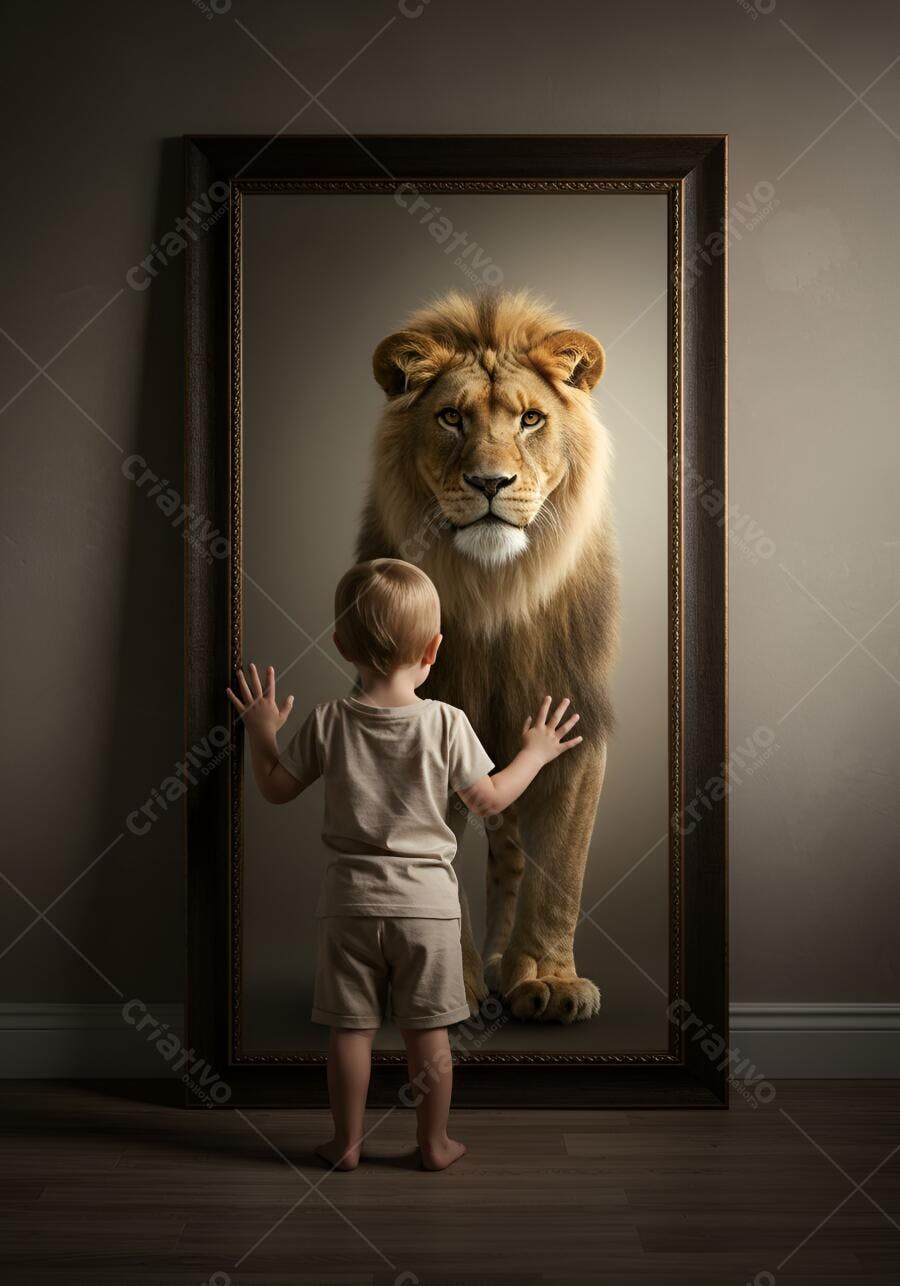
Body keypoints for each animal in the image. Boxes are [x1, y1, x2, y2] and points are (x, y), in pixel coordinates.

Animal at [356, 289, 618, 1024]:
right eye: (451, 417)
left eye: (530, 419)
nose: (490, 481)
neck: (498, 587)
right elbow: (433, 864)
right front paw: (451, 985)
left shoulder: (577, 720)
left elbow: (560, 868)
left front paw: (550, 981)